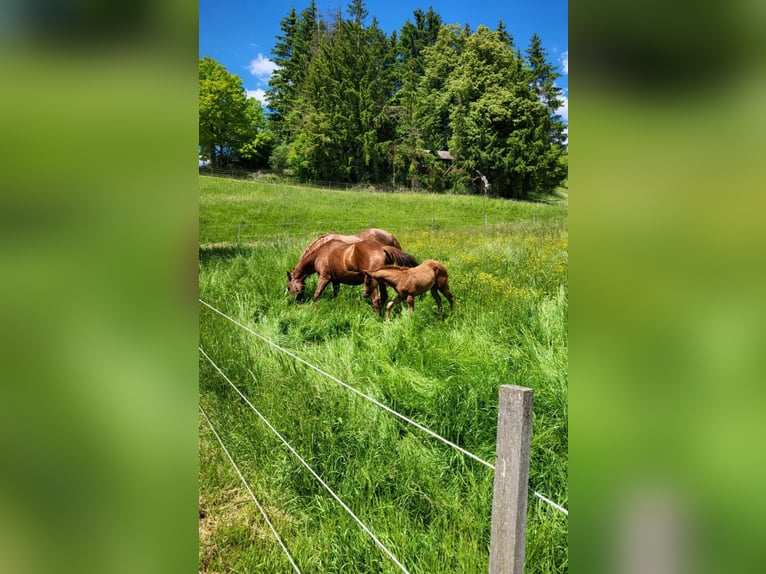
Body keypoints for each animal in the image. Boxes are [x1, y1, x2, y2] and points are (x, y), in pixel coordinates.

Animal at [286, 238, 419, 314]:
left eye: (288, 287)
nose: (292, 302)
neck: (321, 252)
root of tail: (382, 247)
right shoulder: (335, 280)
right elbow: (335, 294)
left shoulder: (324, 277)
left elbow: (316, 295)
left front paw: (314, 310)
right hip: (381, 281)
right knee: (384, 297)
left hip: (373, 282)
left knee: (376, 300)